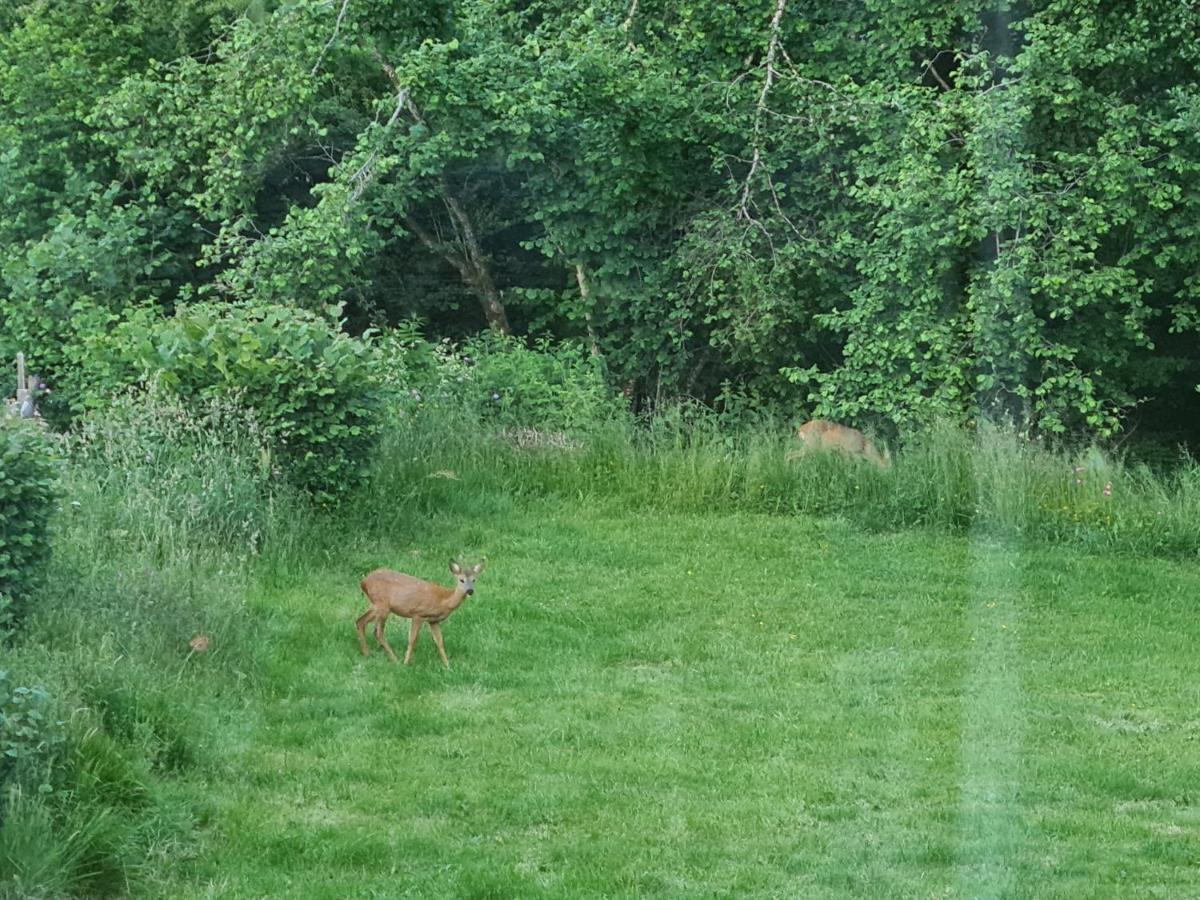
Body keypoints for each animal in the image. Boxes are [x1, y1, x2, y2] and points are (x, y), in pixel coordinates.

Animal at [355, 561, 487, 667]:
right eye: (461, 580)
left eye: (474, 580)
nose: (470, 591)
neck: (444, 600)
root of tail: (363, 582)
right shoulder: (418, 614)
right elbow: (412, 640)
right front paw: (406, 663)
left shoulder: (433, 620)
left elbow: (439, 642)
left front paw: (447, 665)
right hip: (382, 605)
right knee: (378, 632)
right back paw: (395, 660)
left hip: (376, 605)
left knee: (360, 621)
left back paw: (367, 653)